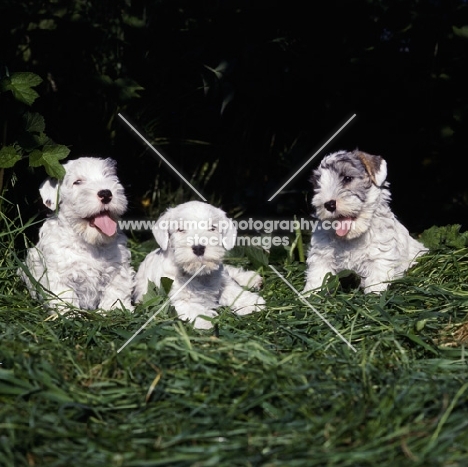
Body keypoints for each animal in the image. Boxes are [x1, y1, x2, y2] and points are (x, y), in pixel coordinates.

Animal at [133, 200, 266, 330]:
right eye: (180, 229)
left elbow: (235, 291)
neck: (199, 274)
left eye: (212, 228)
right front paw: (206, 321)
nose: (198, 248)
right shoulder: (179, 299)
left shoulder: (223, 283)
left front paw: (252, 303)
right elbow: (194, 309)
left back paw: (251, 278)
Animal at [304, 150, 428, 294]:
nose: (329, 204)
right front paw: (311, 295)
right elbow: (318, 278)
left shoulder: (380, 258)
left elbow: (377, 282)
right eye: (318, 186)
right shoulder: (322, 257)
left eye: (347, 178)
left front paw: (374, 295)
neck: (350, 238)